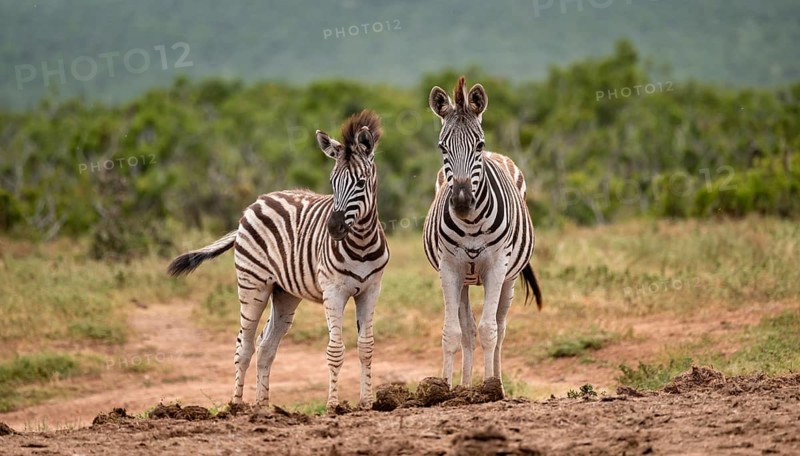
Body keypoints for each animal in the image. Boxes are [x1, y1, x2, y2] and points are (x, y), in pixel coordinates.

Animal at [167, 110, 390, 412]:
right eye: (332, 183)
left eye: (361, 183)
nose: (333, 229)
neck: (362, 243)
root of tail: (257, 201)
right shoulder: (334, 291)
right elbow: (335, 350)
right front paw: (333, 405)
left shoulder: (371, 289)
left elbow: (366, 347)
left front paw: (367, 403)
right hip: (252, 285)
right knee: (244, 344)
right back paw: (236, 405)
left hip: (284, 292)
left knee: (266, 345)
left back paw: (263, 407)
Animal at [423, 77, 542, 389]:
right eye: (442, 147)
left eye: (478, 145)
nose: (462, 202)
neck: (471, 223)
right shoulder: (449, 268)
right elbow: (452, 333)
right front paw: (444, 388)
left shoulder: (497, 266)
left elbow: (490, 330)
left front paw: (490, 387)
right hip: (464, 278)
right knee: (467, 330)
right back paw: (465, 386)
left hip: (510, 278)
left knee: (500, 328)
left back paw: (496, 380)